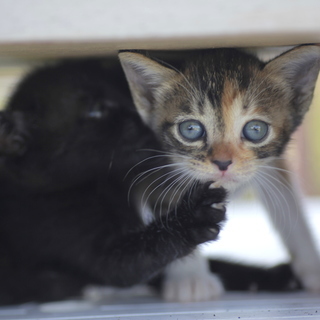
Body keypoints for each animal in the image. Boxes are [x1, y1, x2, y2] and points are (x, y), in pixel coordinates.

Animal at [118, 45, 320, 300]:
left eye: (256, 130)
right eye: (190, 129)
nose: (223, 163)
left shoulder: (272, 163)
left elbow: (289, 206)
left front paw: (312, 268)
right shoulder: (153, 162)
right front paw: (191, 279)